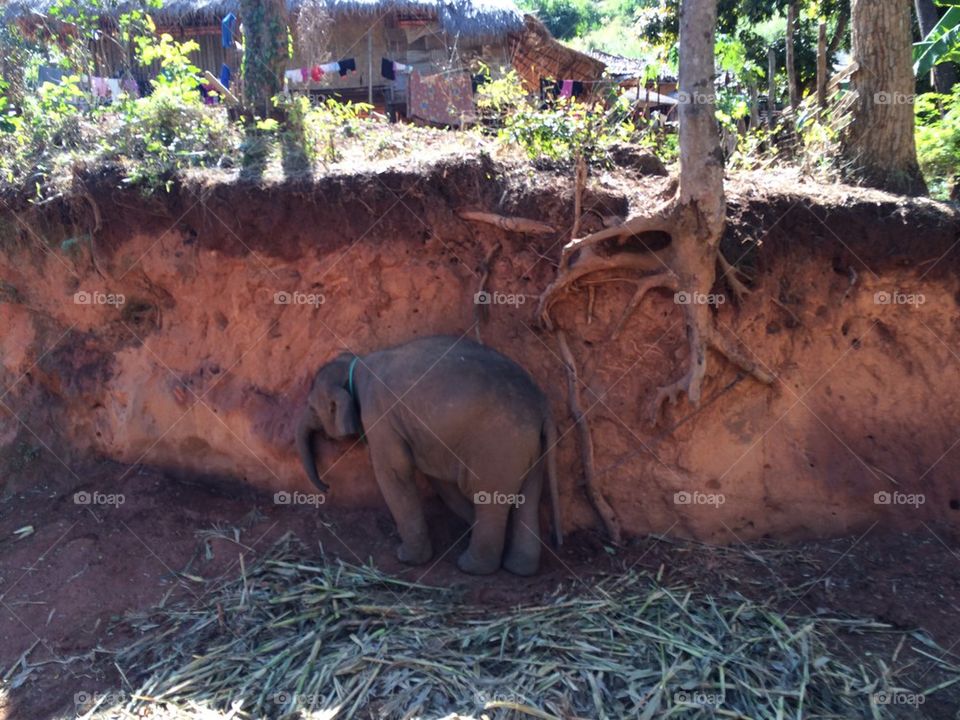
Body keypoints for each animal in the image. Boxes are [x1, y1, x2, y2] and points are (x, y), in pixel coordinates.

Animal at [296, 335, 562, 576]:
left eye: (312, 408)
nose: (327, 487)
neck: (356, 364)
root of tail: (542, 406)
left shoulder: (378, 416)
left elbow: (394, 472)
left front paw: (407, 558)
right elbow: (440, 481)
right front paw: (467, 524)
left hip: (500, 448)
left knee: (491, 499)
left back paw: (471, 567)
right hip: (530, 447)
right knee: (529, 497)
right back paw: (520, 569)